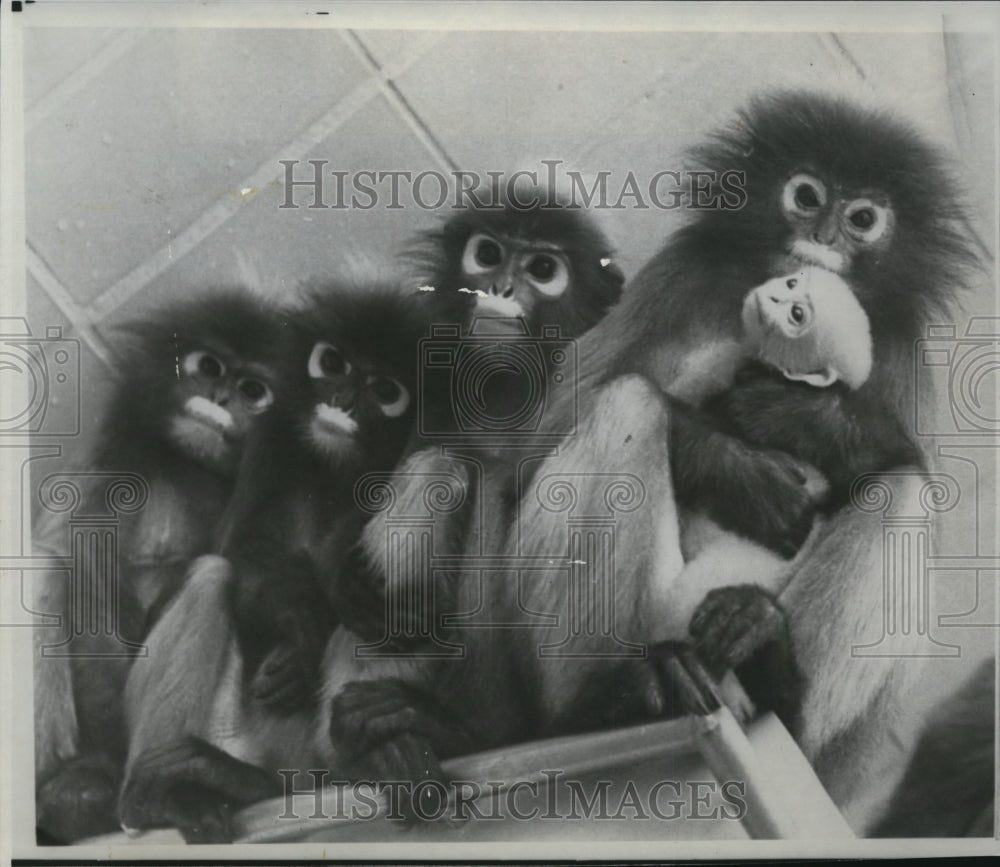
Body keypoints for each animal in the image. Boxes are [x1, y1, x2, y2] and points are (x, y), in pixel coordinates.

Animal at [34, 290, 292, 840]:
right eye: (208, 366)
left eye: (252, 390)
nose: (220, 395)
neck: (185, 464)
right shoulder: (101, 460)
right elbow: (85, 582)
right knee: (44, 562)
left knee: (210, 576)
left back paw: (158, 794)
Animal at [322, 95, 976, 836]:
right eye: (807, 195)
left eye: (864, 218)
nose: (825, 232)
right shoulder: (681, 269)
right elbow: (539, 444)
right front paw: (730, 462)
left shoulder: (898, 342)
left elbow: (913, 467)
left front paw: (808, 419)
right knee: (623, 402)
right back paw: (604, 702)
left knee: (903, 491)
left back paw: (771, 671)